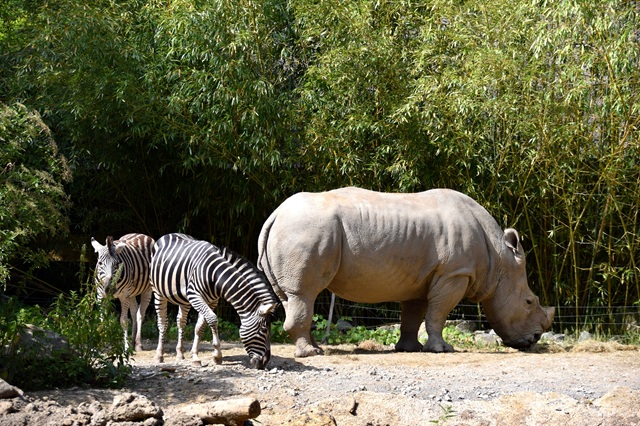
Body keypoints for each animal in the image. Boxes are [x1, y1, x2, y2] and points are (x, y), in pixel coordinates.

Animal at [150, 233, 278, 369]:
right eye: (264, 330)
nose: (264, 363)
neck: (216, 276)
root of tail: (171, 234)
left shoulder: (211, 301)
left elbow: (200, 327)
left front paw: (195, 356)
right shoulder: (195, 296)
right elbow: (213, 319)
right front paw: (217, 355)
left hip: (183, 299)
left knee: (181, 321)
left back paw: (179, 354)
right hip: (157, 291)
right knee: (163, 322)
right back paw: (159, 355)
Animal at [257, 187, 555, 357]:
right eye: (529, 302)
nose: (534, 340)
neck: (498, 258)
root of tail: (274, 214)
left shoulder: (422, 279)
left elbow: (413, 315)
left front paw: (410, 349)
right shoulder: (454, 274)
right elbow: (438, 314)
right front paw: (442, 350)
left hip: (298, 229)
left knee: (290, 298)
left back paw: (314, 348)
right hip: (306, 229)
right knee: (303, 294)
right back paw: (310, 354)